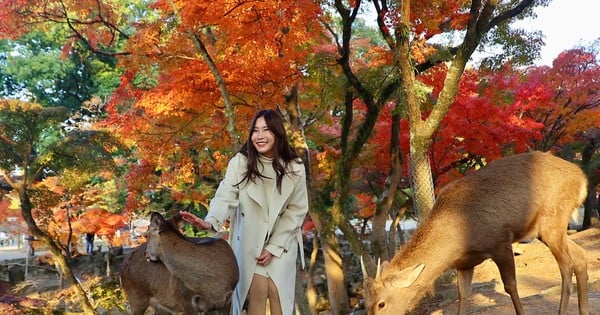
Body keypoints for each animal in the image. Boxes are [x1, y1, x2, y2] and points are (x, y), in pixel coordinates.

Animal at [364, 152, 588, 314]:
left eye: (381, 303)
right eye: (365, 303)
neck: (460, 239)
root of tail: (582, 179)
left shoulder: (500, 242)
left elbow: (511, 286)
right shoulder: (464, 264)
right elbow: (463, 295)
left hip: (552, 220)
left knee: (566, 265)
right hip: (548, 228)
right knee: (580, 256)